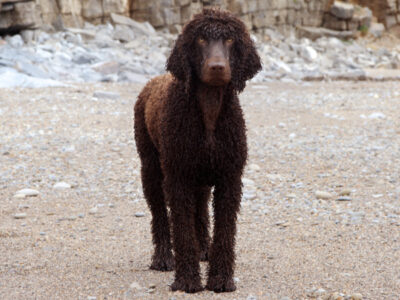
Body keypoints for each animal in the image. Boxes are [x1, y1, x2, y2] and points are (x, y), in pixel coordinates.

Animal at [133, 8, 260, 292]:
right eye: (200, 39)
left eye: (230, 40)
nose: (217, 67)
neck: (209, 110)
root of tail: (153, 80)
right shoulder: (178, 177)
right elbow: (181, 228)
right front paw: (188, 279)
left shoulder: (229, 178)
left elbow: (224, 230)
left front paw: (221, 278)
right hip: (151, 169)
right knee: (160, 215)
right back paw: (163, 257)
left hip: (200, 178)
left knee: (200, 210)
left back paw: (204, 248)